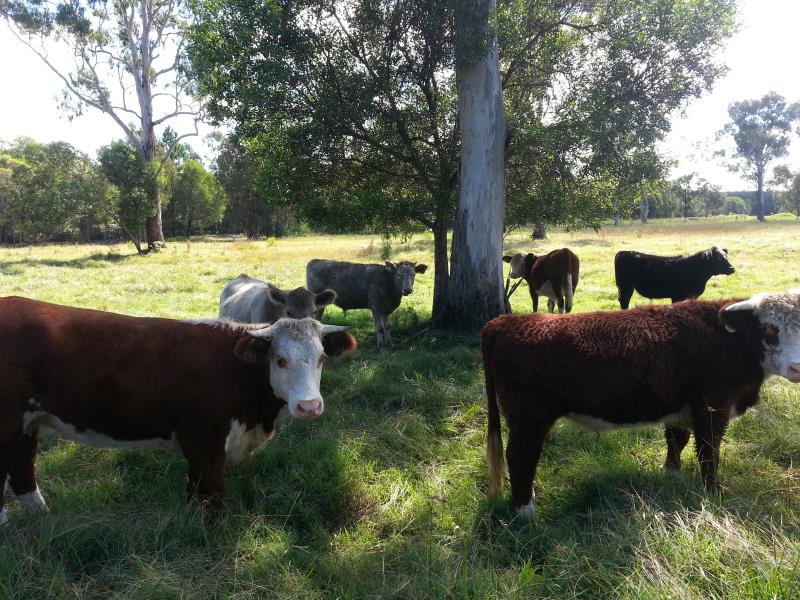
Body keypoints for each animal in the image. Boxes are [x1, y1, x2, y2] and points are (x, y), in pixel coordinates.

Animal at [0, 297, 357, 525]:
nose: (309, 406)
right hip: (7, 422)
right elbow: (211, 493)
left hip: (28, 423)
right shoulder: (204, 438)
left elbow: (195, 489)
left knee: (22, 468)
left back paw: (41, 517)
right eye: (280, 360)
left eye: (322, 357)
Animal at [481, 290, 800, 518]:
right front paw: (714, 491)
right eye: (768, 329)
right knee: (520, 456)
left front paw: (671, 473)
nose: (797, 367)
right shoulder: (712, 409)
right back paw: (524, 510)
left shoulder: (681, 409)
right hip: (529, 420)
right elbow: (709, 453)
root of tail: (507, 322)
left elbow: (677, 440)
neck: (724, 338)